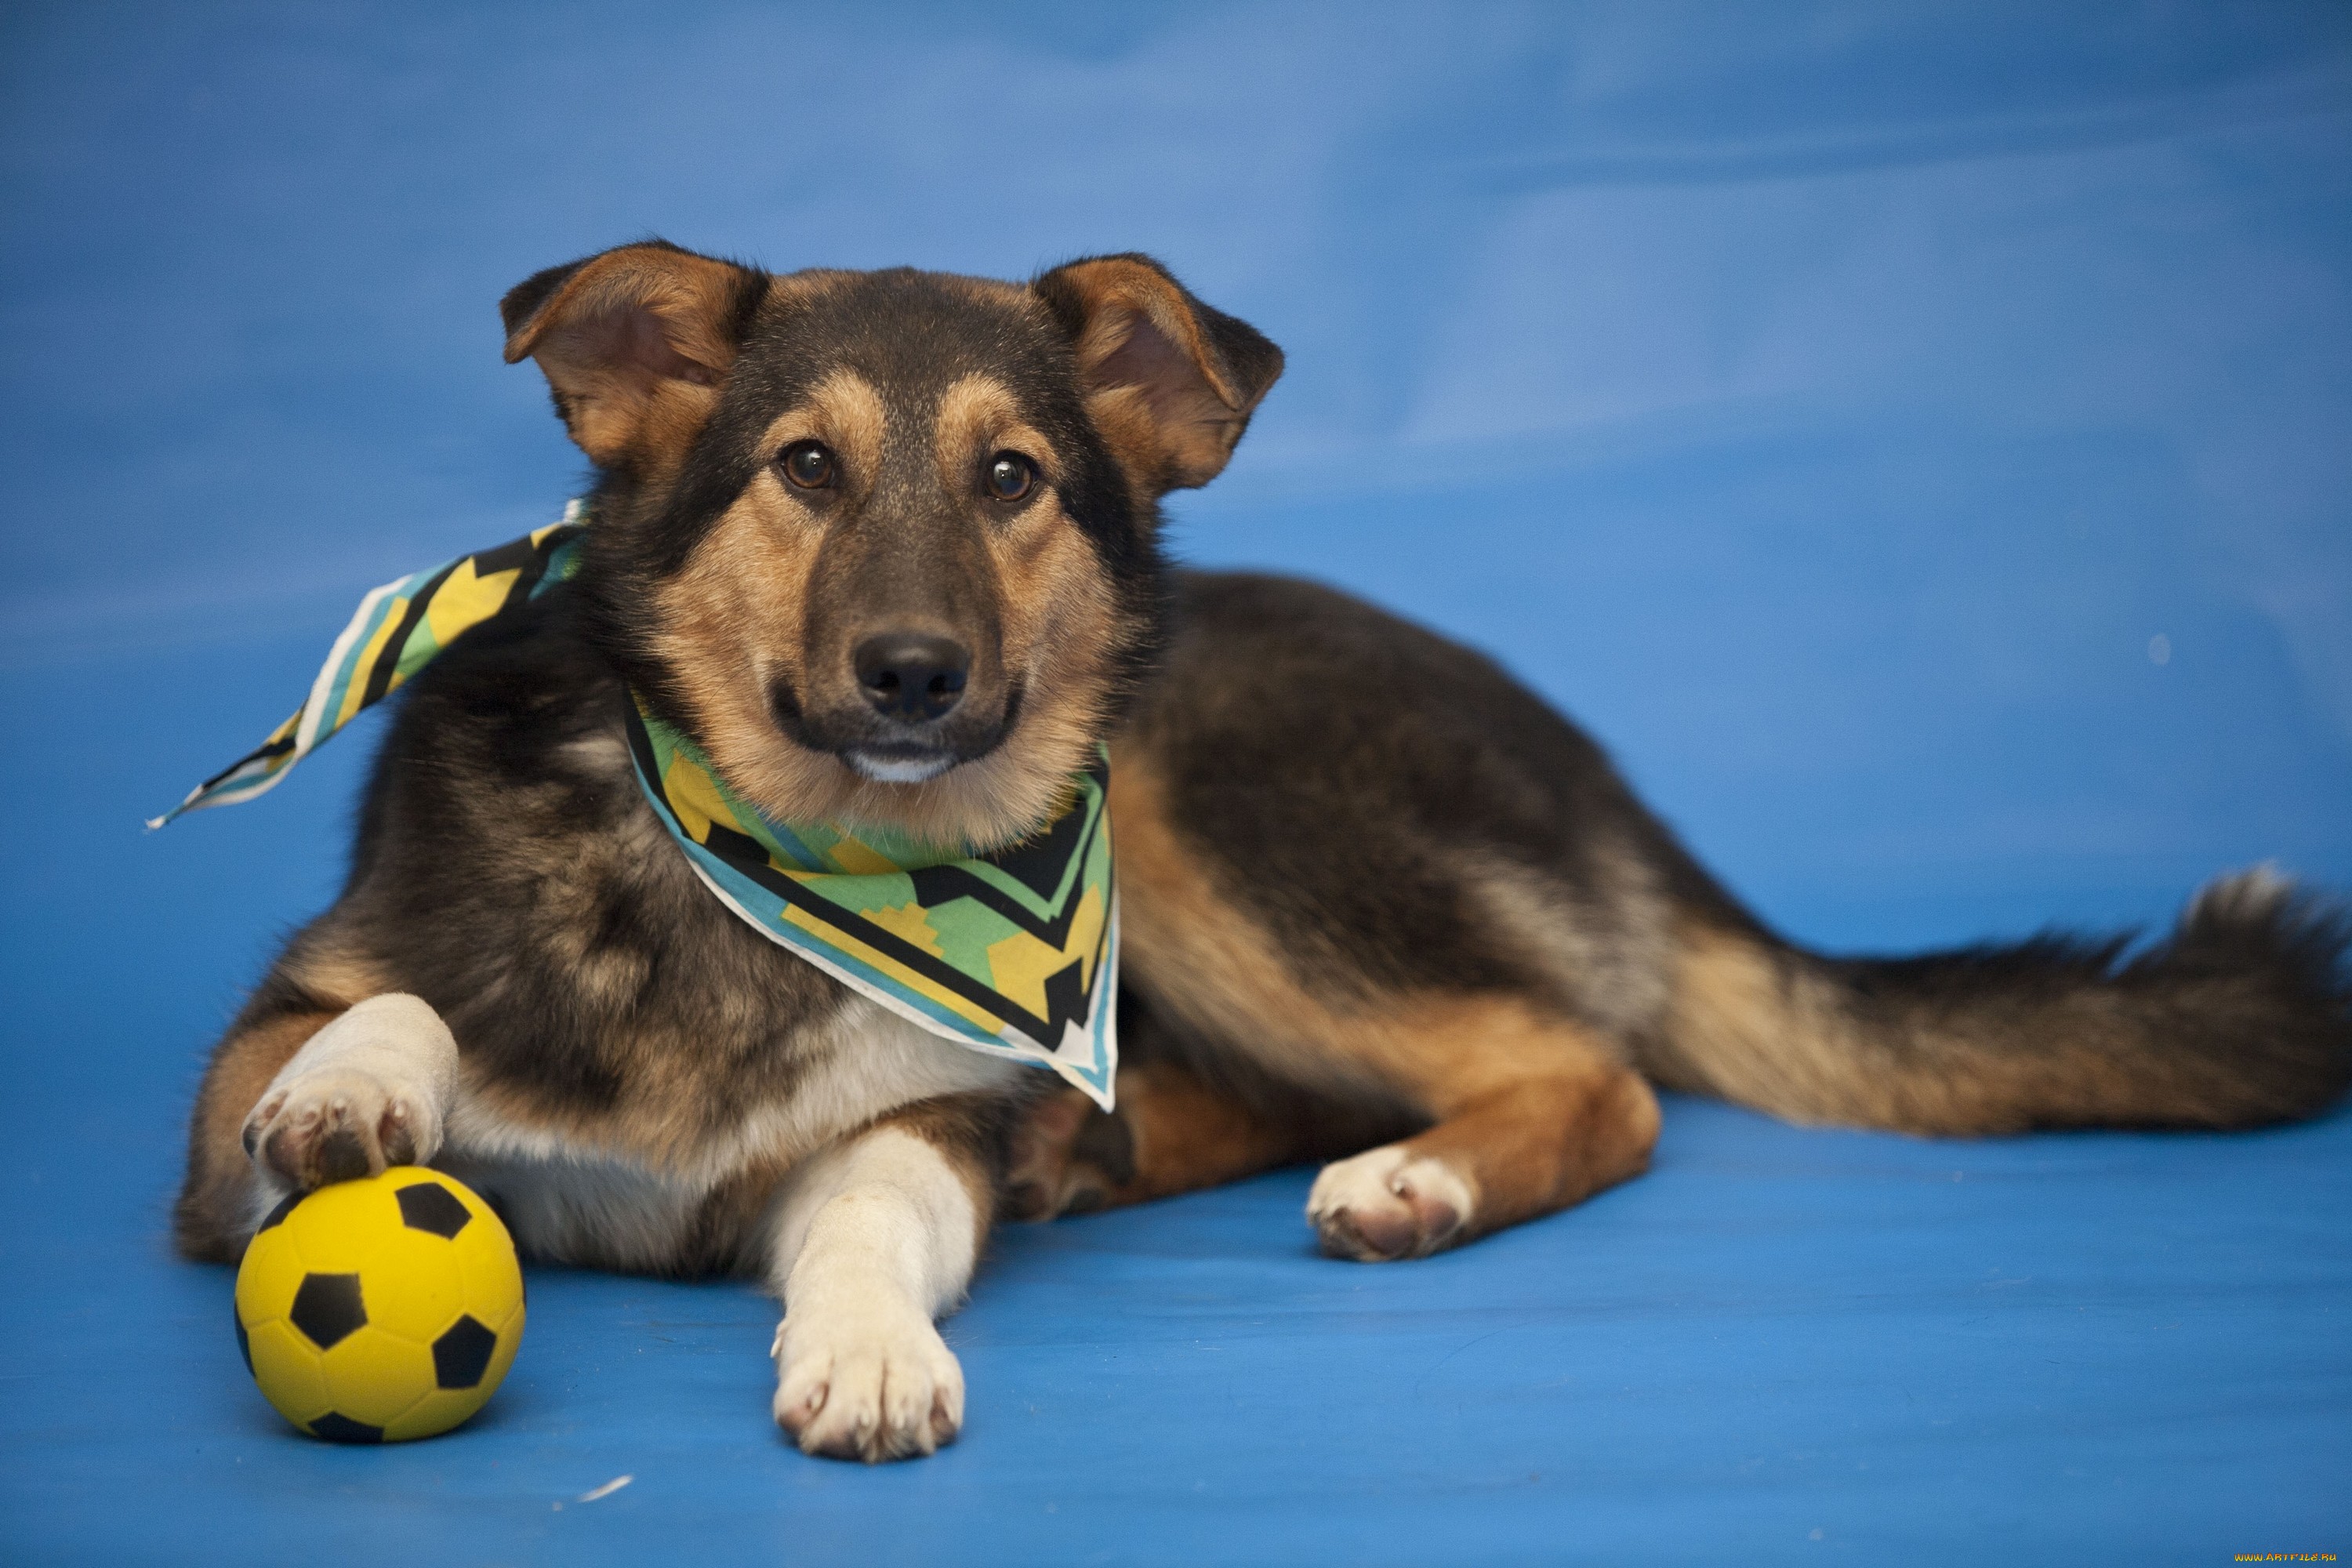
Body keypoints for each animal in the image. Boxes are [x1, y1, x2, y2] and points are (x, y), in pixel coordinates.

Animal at [174, 239, 2352, 1467]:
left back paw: (1416, 1179)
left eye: (1013, 478)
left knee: (1594, 1071)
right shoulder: (215, 1138)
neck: (791, 866)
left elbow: (876, 1204)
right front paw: (356, 1093)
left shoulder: (931, 1121)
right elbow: (366, 1013)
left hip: (1191, 811)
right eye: (802, 468)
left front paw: (867, 1347)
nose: (916, 673)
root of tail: (1600, 771)